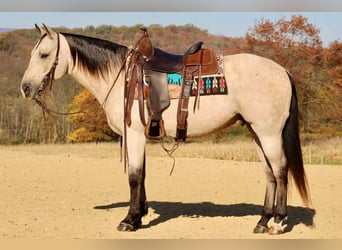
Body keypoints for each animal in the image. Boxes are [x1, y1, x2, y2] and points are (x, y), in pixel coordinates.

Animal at [20, 24, 312, 233]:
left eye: (44, 54)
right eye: (32, 54)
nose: (25, 88)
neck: (121, 76)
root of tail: (282, 71)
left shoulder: (134, 135)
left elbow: (134, 176)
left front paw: (129, 220)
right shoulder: (141, 136)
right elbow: (142, 176)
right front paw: (139, 216)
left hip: (268, 134)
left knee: (281, 171)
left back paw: (278, 222)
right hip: (256, 133)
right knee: (270, 174)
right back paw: (262, 222)